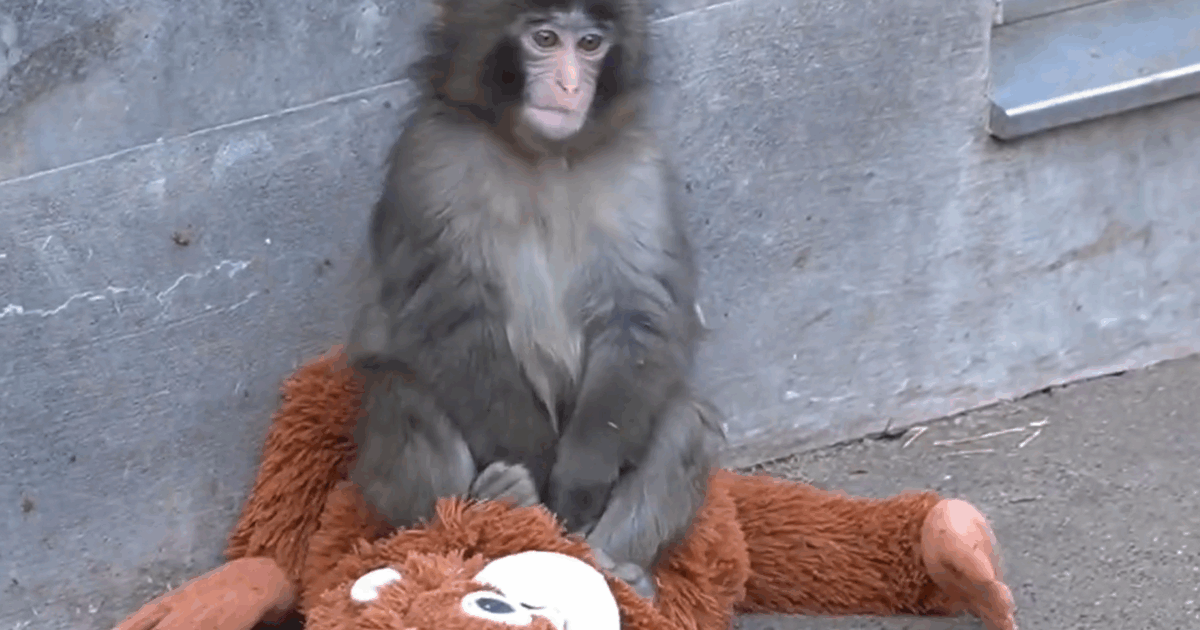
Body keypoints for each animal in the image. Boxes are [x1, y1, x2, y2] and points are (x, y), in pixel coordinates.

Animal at [345, 0, 725, 599]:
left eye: (590, 44)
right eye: (544, 39)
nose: (570, 85)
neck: (541, 154)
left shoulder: (638, 166)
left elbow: (637, 314)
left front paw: (578, 482)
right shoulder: (431, 160)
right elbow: (454, 315)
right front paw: (531, 475)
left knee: (683, 418)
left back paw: (617, 570)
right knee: (402, 397)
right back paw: (481, 521)